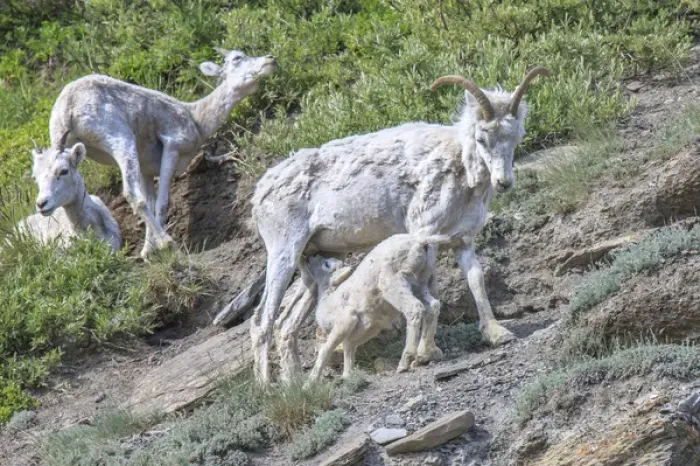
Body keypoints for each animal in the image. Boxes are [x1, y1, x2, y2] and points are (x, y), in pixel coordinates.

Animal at [47, 48, 278, 258]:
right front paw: (160, 250)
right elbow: (163, 202)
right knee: (132, 194)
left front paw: (149, 251)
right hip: (120, 138)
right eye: (237, 57)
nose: (271, 60)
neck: (196, 119)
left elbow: (151, 201)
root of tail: (68, 109)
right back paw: (169, 243)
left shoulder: (147, 171)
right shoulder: (172, 146)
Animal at [307, 234, 448, 381]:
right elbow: (349, 353)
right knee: (433, 307)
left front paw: (311, 381)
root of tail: (421, 241)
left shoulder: (345, 321)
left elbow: (326, 349)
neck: (328, 296)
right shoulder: (355, 335)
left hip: (394, 280)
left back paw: (405, 361)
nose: (311, 256)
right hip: (420, 283)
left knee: (414, 308)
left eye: (326, 264)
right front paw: (348, 377)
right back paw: (425, 354)